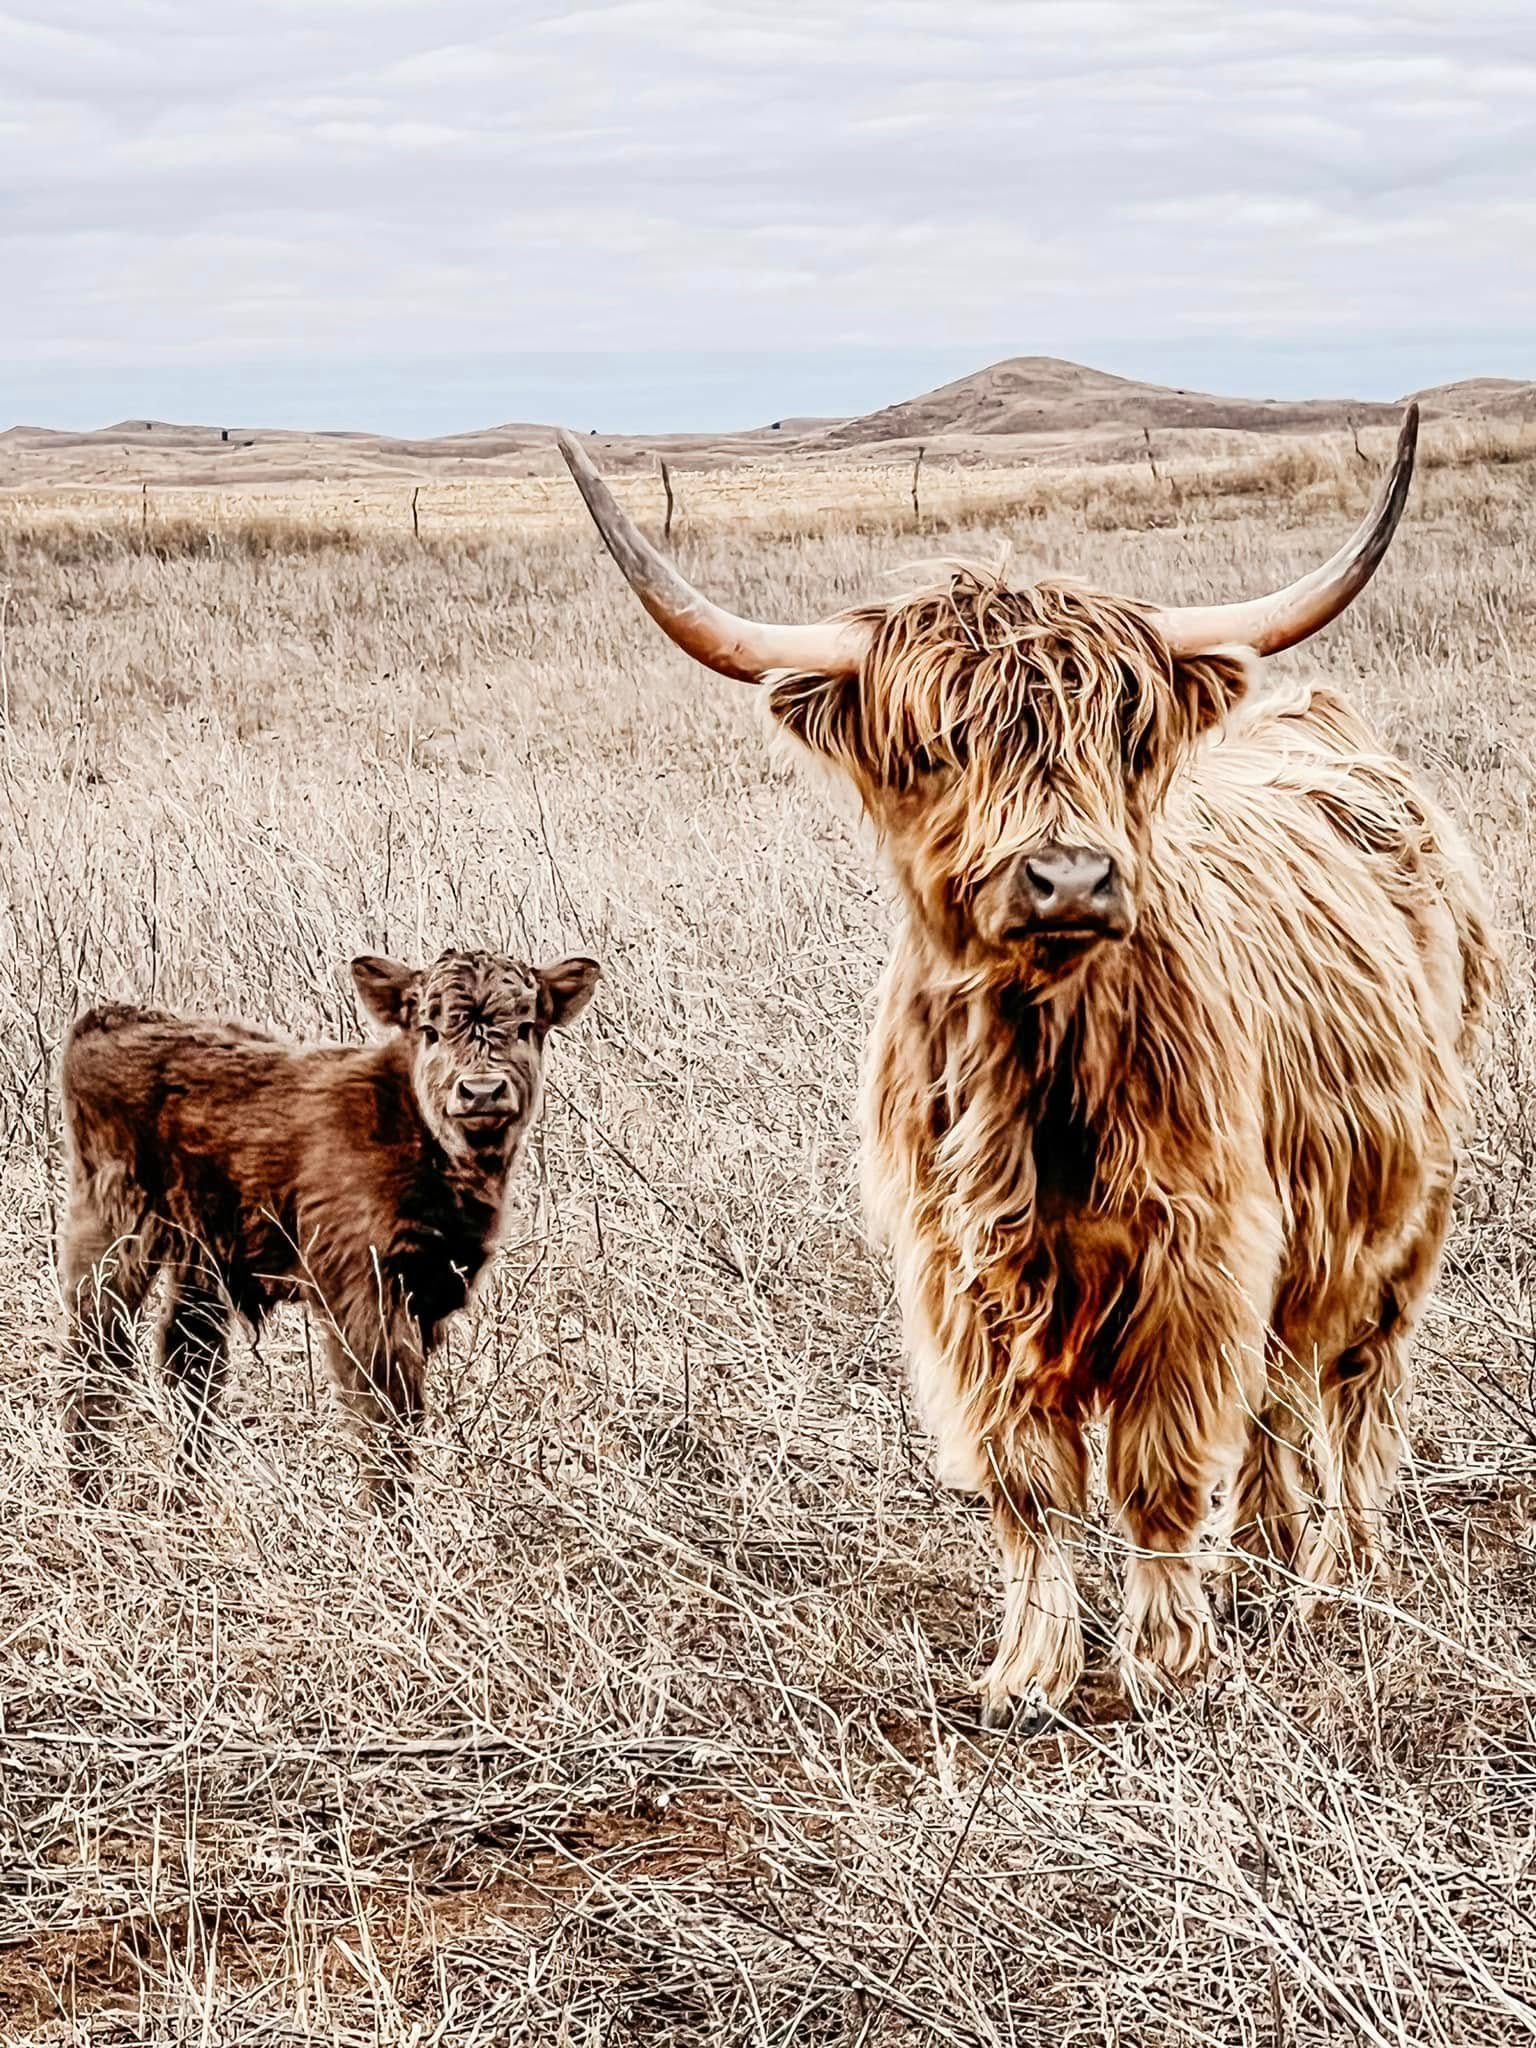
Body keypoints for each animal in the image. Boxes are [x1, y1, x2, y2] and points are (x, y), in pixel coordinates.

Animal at [61, 947, 599, 1509]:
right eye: (429, 1030)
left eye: (525, 1027)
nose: (481, 1092)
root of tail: (117, 1016)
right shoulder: (364, 1295)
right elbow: (383, 1412)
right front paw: (387, 1515)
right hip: (112, 1237)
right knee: (96, 1357)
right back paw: (88, 1493)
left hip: (200, 1258)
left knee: (190, 1363)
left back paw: (187, 1497)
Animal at [558, 409, 1495, 1719]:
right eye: (939, 744)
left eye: (1122, 732)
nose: (1068, 878)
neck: (1044, 1072)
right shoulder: (963, 1272)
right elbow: (1029, 1481)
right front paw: (1031, 1669)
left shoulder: (1196, 1253)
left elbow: (1158, 1465)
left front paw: (1163, 1655)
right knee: (1276, 1392)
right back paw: (1258, 1564)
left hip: (1396, 1212)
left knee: (1352, 1382)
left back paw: (1337, 1576)